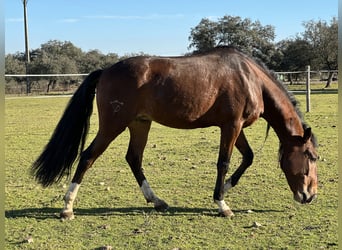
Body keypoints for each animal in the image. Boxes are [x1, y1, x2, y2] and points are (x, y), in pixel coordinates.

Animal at [31, 46, 318, 219]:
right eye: (311, 157)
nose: (310, 195)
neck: (249, 78)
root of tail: (105, 71)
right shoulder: (231, 126)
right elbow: (224, 162)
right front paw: (222, 203)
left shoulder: (236, 127)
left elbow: (247, 158)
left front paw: (225, 189)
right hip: (113, 125)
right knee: (88, 156)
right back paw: (67, 207)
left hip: (140, 124)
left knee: (133, 159)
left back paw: (156, 200)